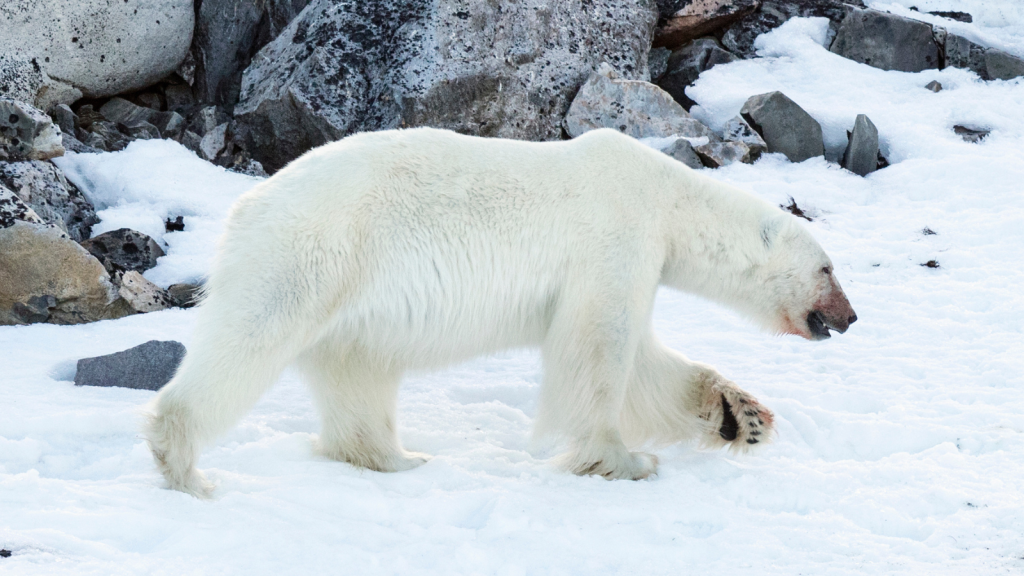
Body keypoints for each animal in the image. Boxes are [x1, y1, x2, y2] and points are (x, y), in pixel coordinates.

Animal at [144, 127, 851, 496]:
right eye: (828, 268)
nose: (849, 319)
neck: (668, 197)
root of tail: (245, 207)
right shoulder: (613, 239)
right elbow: (599, 347)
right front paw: (624, 461)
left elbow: (645, 363)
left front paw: (743, 416)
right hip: (308, 257)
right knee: (247, 342)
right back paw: (185, 467)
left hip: (350, 305)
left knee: (357, 371)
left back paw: (399, 459)